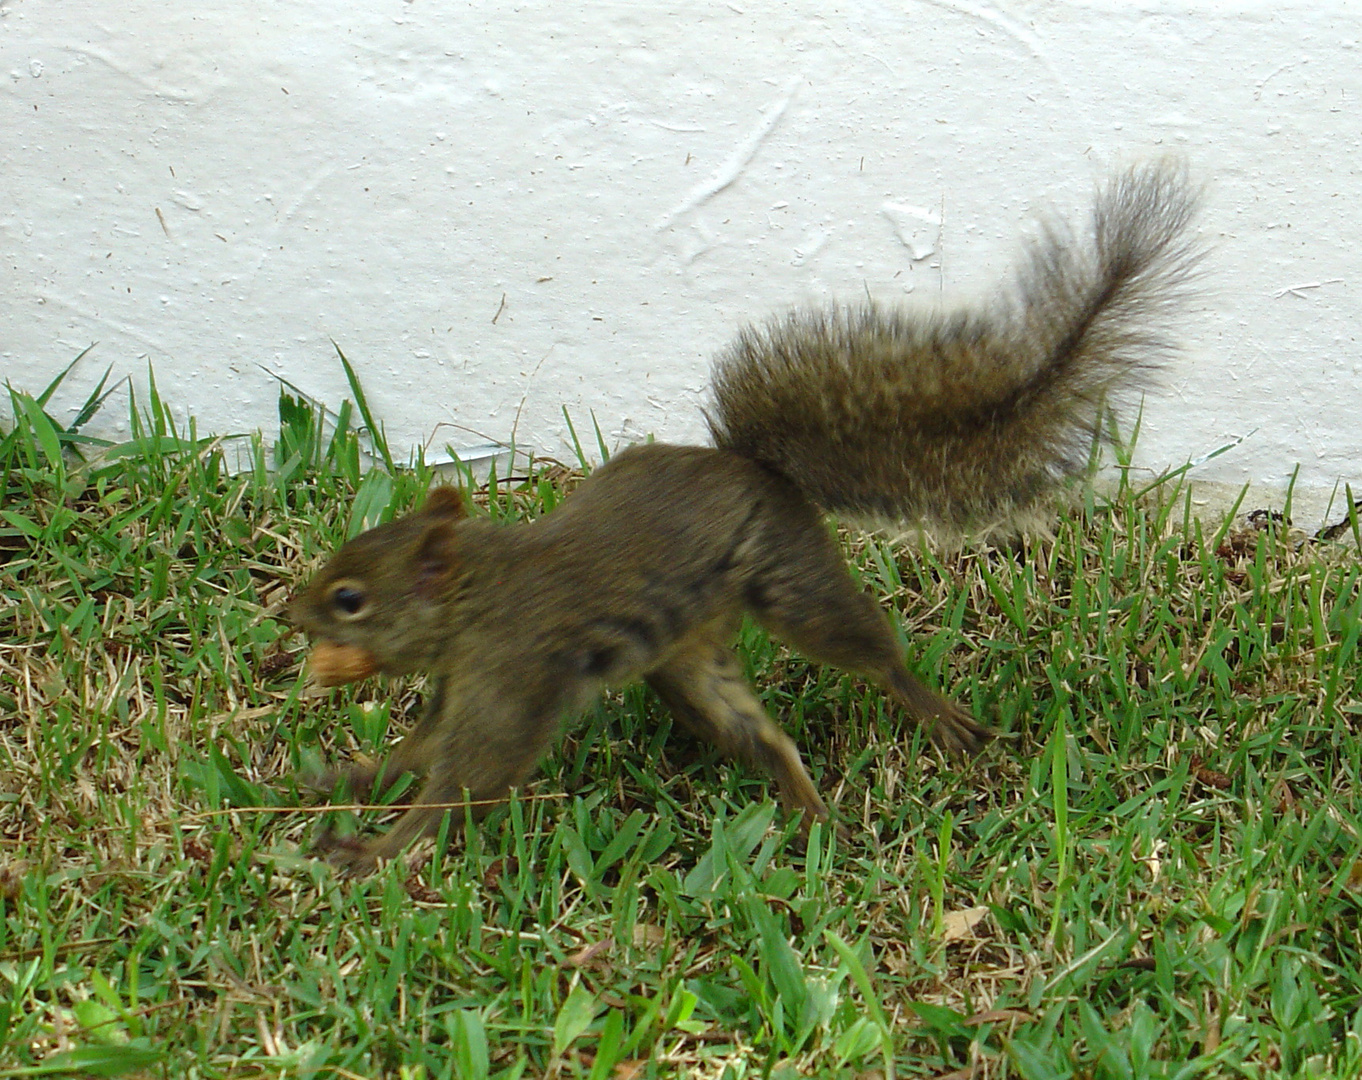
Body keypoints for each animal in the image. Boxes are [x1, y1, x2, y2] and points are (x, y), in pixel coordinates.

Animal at [290, 160, 1204, 871]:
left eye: (350, 599)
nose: (289, 617)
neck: (477, 598)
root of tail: (748, 464)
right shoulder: (462, 685)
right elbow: (418, 753)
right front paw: (343, 783)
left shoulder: (508, 678)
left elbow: (461, 784)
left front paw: (373, 851)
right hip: (689, 664)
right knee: (766, 738)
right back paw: (809, 816)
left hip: (791, 585)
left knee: (868, 652)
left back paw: (929, 715)